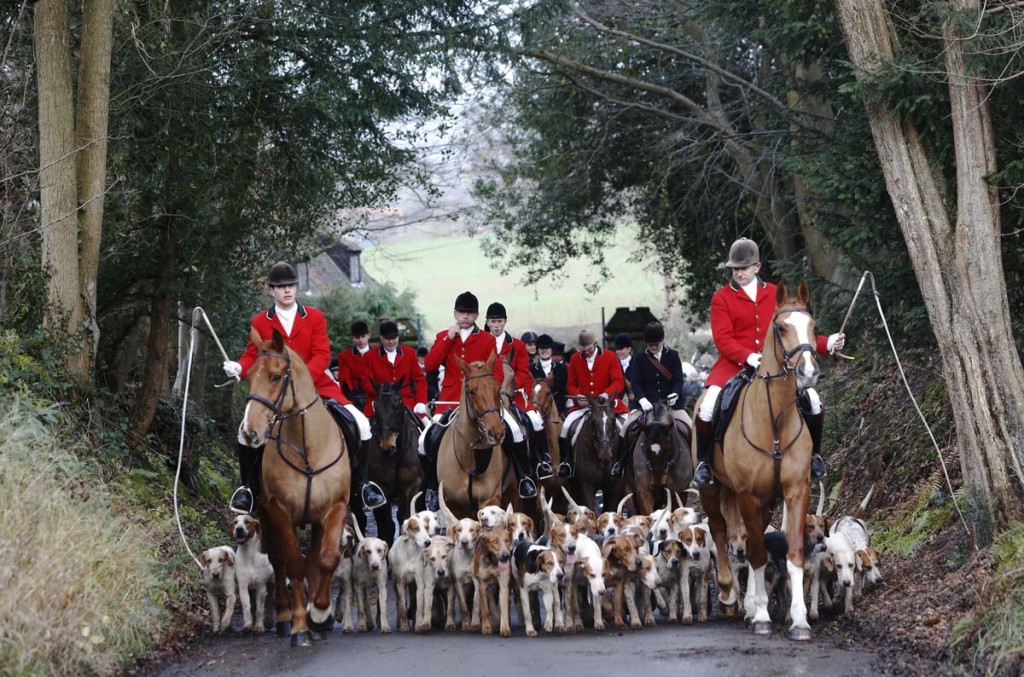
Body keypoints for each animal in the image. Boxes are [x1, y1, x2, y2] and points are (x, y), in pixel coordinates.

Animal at [237, 329, 350, 647]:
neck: (308, 447)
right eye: (249, 375)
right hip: (264, 514)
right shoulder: (279, 511)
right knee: (278, 562)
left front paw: (320, 613)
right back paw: (284, 617)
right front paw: (300, 626)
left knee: (313, 559)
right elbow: (293, 564)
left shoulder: (335, 507)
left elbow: (325, 559)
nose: (249, 433)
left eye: (276, 376)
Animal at [356, 376, 423, 540]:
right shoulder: (381, 488)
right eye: (376, 407)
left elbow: (407, 517)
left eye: (397, 406)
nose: (386, 445)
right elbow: (388, 524)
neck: (396, 456)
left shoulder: (412, 486)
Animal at [692, 280, 819, 639]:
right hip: (712, 489)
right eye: (781, 327)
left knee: (751, 538)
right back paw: (728, 594)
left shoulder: (795, 491)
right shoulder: (748, 494)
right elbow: (758, 553)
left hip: (763, 501)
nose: (808, 372)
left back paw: (748, 604)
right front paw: (762, 615)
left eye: (813, 326)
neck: (775, 420)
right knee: (720, 528)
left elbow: (791, 553)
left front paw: (798, 620)